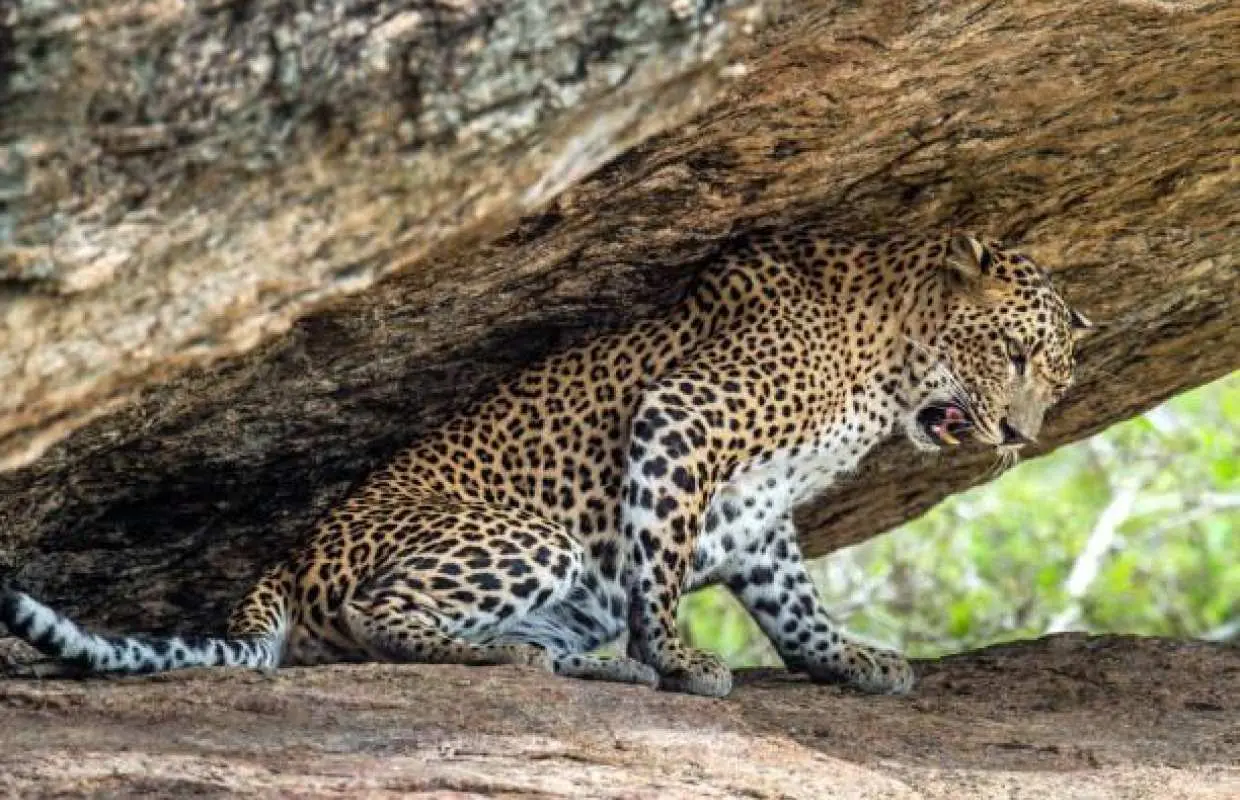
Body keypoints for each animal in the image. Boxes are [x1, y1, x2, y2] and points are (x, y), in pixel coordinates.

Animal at [1, 229, 1092, 698]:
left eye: (1054, 377)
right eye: (1015, 357)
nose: (1018, 438)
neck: (886, 363)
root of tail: (281, 566)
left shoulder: (758, 517)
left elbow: (793, 601)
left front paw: (847, 658)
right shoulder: (682, 422)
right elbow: (662, 565)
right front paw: (683, 659)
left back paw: (595, 663)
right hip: (531, 539)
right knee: (374, 621)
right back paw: (530, 658)